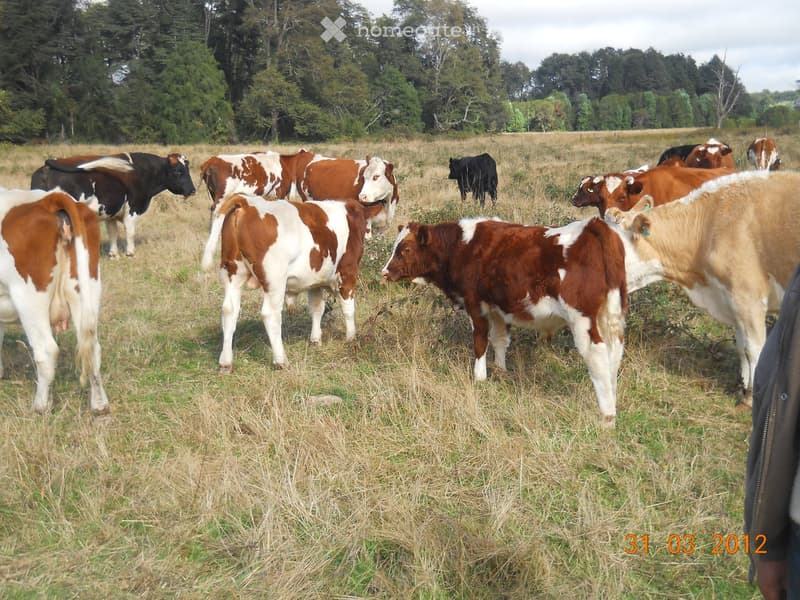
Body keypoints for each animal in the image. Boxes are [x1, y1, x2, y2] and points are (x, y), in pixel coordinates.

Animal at [0, 188, 109, 414]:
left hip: (29, 299)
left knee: (47, 350)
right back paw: (99, 405)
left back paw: (40, 406)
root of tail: (50, 199)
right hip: (87, 289)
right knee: (93, 348)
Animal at [31, 152, 196, 258]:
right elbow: (130, 232)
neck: (142, 172)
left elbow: (112, 233)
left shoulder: (111, 213)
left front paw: (113, 254)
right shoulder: (132, 209)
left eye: (187, 169)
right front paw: (130, 252)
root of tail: (46, 168)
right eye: (178, 171)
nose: (193, 190)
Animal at [200, 194, 385, 372]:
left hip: (232, 273)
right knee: (270, 315)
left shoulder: (315, 280)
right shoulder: (348, 272)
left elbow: (317, 308)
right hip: (275, 280)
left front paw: (315, 339)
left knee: (229, 311)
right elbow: (348, 309)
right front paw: (351, 338)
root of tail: (246, 201)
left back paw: (226, 362)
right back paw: (281, 360)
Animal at [381, 216, 627, 427]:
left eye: (405, 250)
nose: (385, 272)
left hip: (582, 319)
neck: (462, 246)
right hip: (610, 316)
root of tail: (592, 226)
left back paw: (607, 417)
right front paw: (500, 372)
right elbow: (500, 340)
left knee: (597, 357)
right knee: (613, 356)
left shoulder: (475, 304)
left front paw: (479, 377)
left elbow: (480, 341)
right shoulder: (498, 309)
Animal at [605, 171, 800, 407]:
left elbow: (754, 350)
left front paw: (750, 398)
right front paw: (742, 387)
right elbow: (741, 346)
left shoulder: (748, 298)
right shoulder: (731, 299)